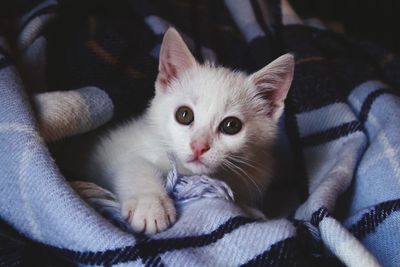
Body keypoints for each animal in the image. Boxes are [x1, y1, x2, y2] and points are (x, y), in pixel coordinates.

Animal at [86, 28, 294, 236]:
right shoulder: (115, 148)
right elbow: (134, 164)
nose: (199, 146)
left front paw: (249, 210)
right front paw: (151, 204)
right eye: (184, 114)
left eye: (231, 125)